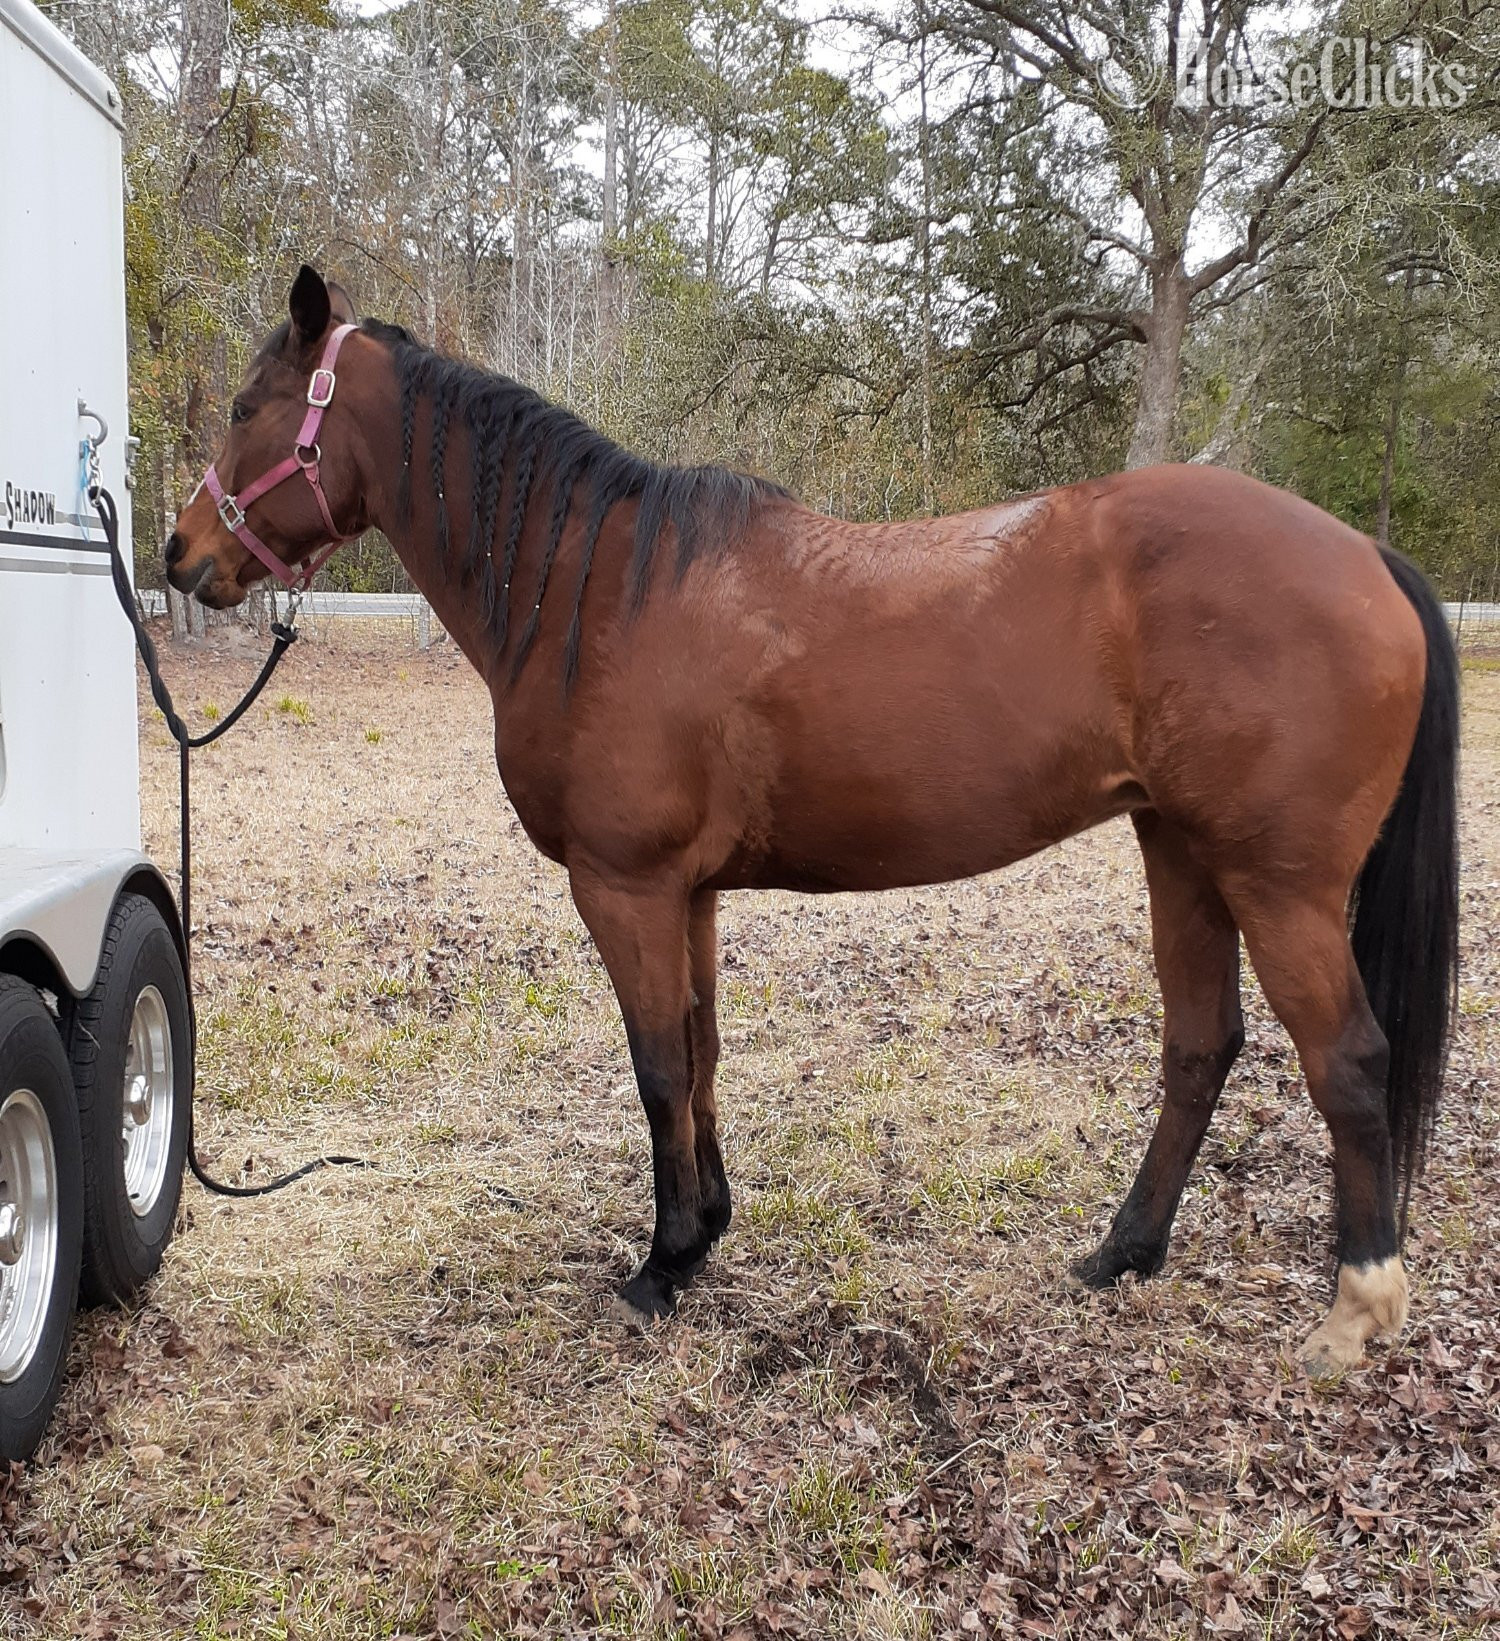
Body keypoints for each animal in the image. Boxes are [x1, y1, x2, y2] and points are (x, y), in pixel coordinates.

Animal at [166, 265, 1459, 1373]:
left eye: (248, 406)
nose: (182, 553)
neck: (602, 589)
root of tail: (1368, 558)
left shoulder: (624, 884)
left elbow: (654, 1064)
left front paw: (662, 1266)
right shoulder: (686, 893)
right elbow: (700, 1050)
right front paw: (707, 1227)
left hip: (1276, 881)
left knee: (1347, 1063)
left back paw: (1353, 1313)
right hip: (1180, 851)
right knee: (1201, 1045)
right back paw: (1121, 1254)